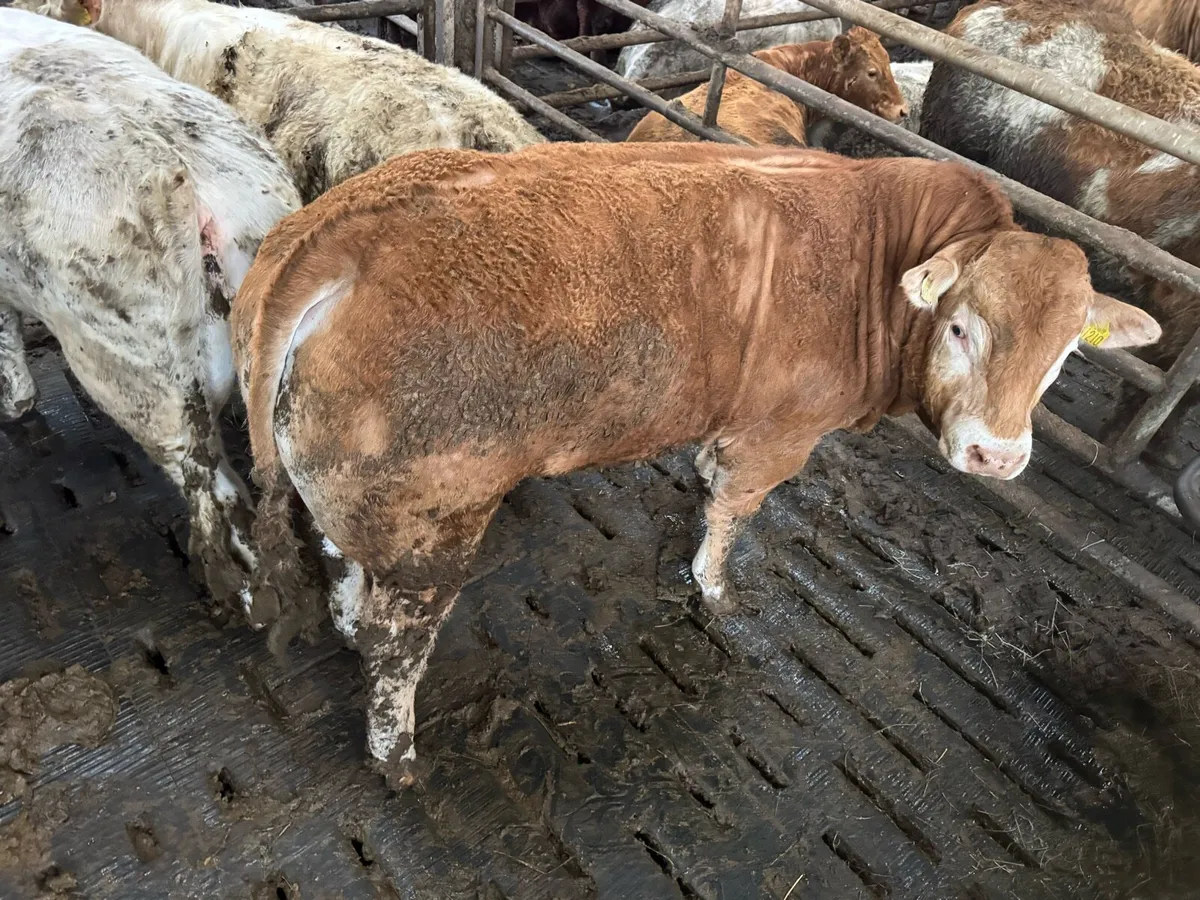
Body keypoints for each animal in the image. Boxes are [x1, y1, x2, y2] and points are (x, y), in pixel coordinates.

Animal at [230, 141, 1160, 789]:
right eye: (962, 326)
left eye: (1067, 352)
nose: (995, 455)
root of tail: (345, 229)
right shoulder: (780, 434)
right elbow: (732, 512)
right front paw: (715, 590)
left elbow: (710, 485)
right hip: (435, 519)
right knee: (399, 644)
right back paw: (397, 756)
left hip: (354, 490)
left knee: (340, 558)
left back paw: (346, 620)